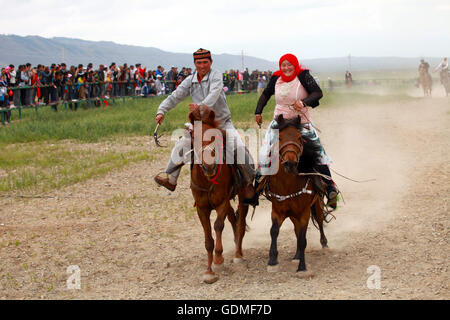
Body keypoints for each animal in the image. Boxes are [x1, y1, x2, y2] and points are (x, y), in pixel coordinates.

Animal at [187, 105, 250, 282]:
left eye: (214, 135)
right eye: (194, 136)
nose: (209, 166)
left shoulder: (221, 202)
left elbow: (218, 225)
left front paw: (219, 259)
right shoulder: (201, 208)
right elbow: (208, 239)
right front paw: (209, 271)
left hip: (244, 197)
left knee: (240, 223)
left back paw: (238, 255)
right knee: (233, 217)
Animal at [262, 115, 328, 276]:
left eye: (299, 138)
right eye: (279, 137)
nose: (290, 163)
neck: (287, 185)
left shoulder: (304, 212)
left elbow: (303, 238)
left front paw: (302, 267)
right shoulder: (277, 210)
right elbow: (274, 231)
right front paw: (272, 261)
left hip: (316, 204)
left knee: (320, 221)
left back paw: (324, 243)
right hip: (293, 214)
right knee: (296, 230)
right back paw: (297, 255)